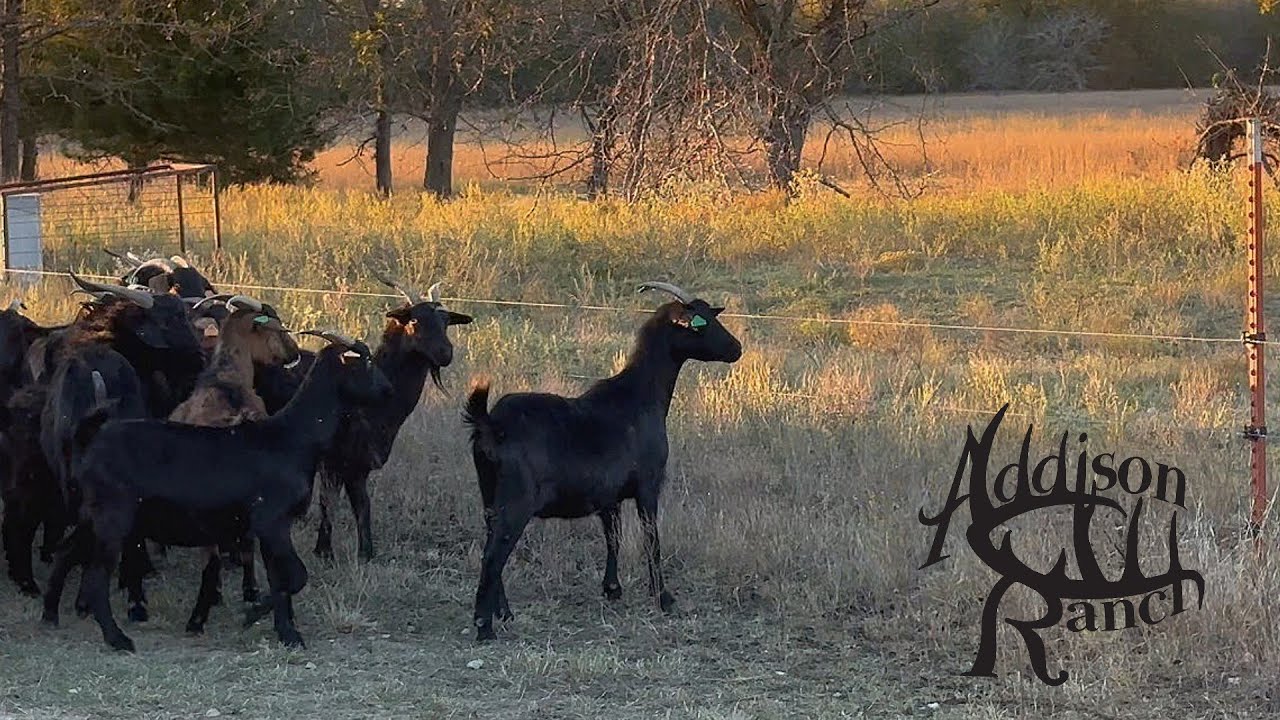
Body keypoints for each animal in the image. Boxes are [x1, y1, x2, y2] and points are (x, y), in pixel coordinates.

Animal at [42, 332, 394, 652]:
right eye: (367, 362)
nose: (388, 390)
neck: (293, 439)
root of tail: (90, 442)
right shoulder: (272, 520)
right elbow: (295, 576)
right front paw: (255, 617)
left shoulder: (269, 528)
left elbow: (280, 578)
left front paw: (286, 632)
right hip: (113, 519)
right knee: (95, 578)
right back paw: (118, 640)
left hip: (93, 516)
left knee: (66, 552)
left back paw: (50, 615)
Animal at [256, 271, 472, 561]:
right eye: (414, 319)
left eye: (447, 321)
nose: (445, 354)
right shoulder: (337, 462)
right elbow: (336, 503)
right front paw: (330, 552)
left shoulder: (358, 464)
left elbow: (358, 505)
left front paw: (360, 553)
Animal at [462, 281, 742, 641]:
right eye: (700, 324)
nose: (736, 348)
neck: (639, 396)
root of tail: (491, 424)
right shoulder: (649, 485)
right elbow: (651, 538)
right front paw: (664, 598)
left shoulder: (609, 496)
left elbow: (614, 537)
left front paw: (612, 589)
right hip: (516, 500)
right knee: (493, 554)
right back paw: (485, 627)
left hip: (489, 494)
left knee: (492, 545)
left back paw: (505, 614)